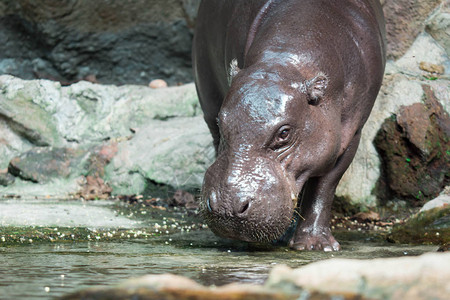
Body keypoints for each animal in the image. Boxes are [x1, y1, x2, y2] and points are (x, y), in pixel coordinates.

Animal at [192, 0, 384, 251]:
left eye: (284, 133)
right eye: (221, 121)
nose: (227, 206)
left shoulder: (350, 136)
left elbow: (324, 186)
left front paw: (316, 245)